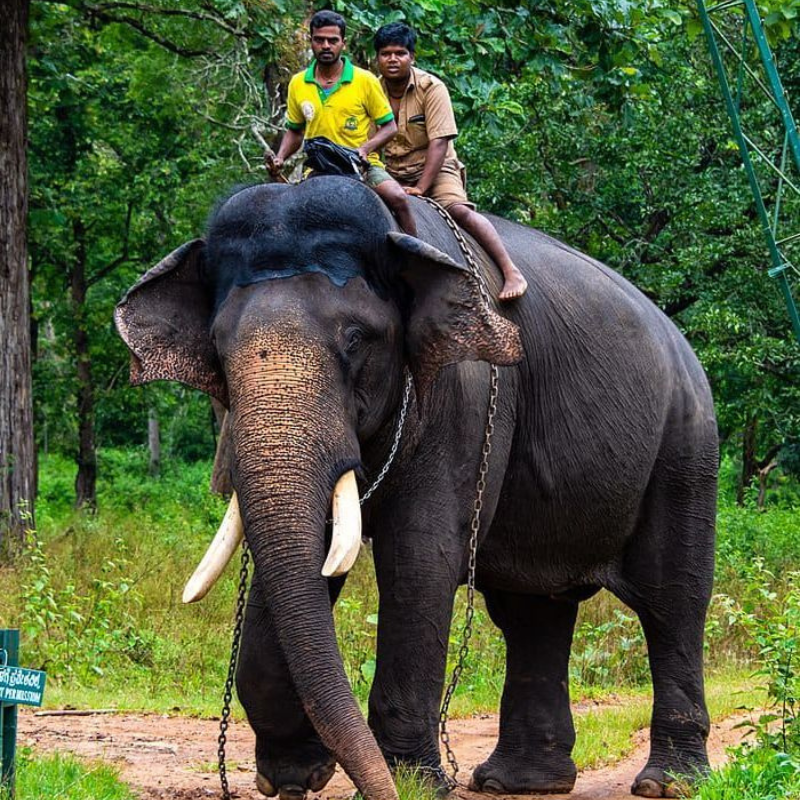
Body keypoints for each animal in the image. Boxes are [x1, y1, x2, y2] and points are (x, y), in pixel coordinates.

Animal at [115, 176, 717, 800]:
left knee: (671, 599)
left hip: (684, 447)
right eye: (217, 349)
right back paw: (515, 782)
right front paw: (291, 779)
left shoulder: (463, 393)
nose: (371, 784)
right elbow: (307, 562)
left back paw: (669, 783)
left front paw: (412, 784)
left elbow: (419, 557)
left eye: (356, 338)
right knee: (531, 609)